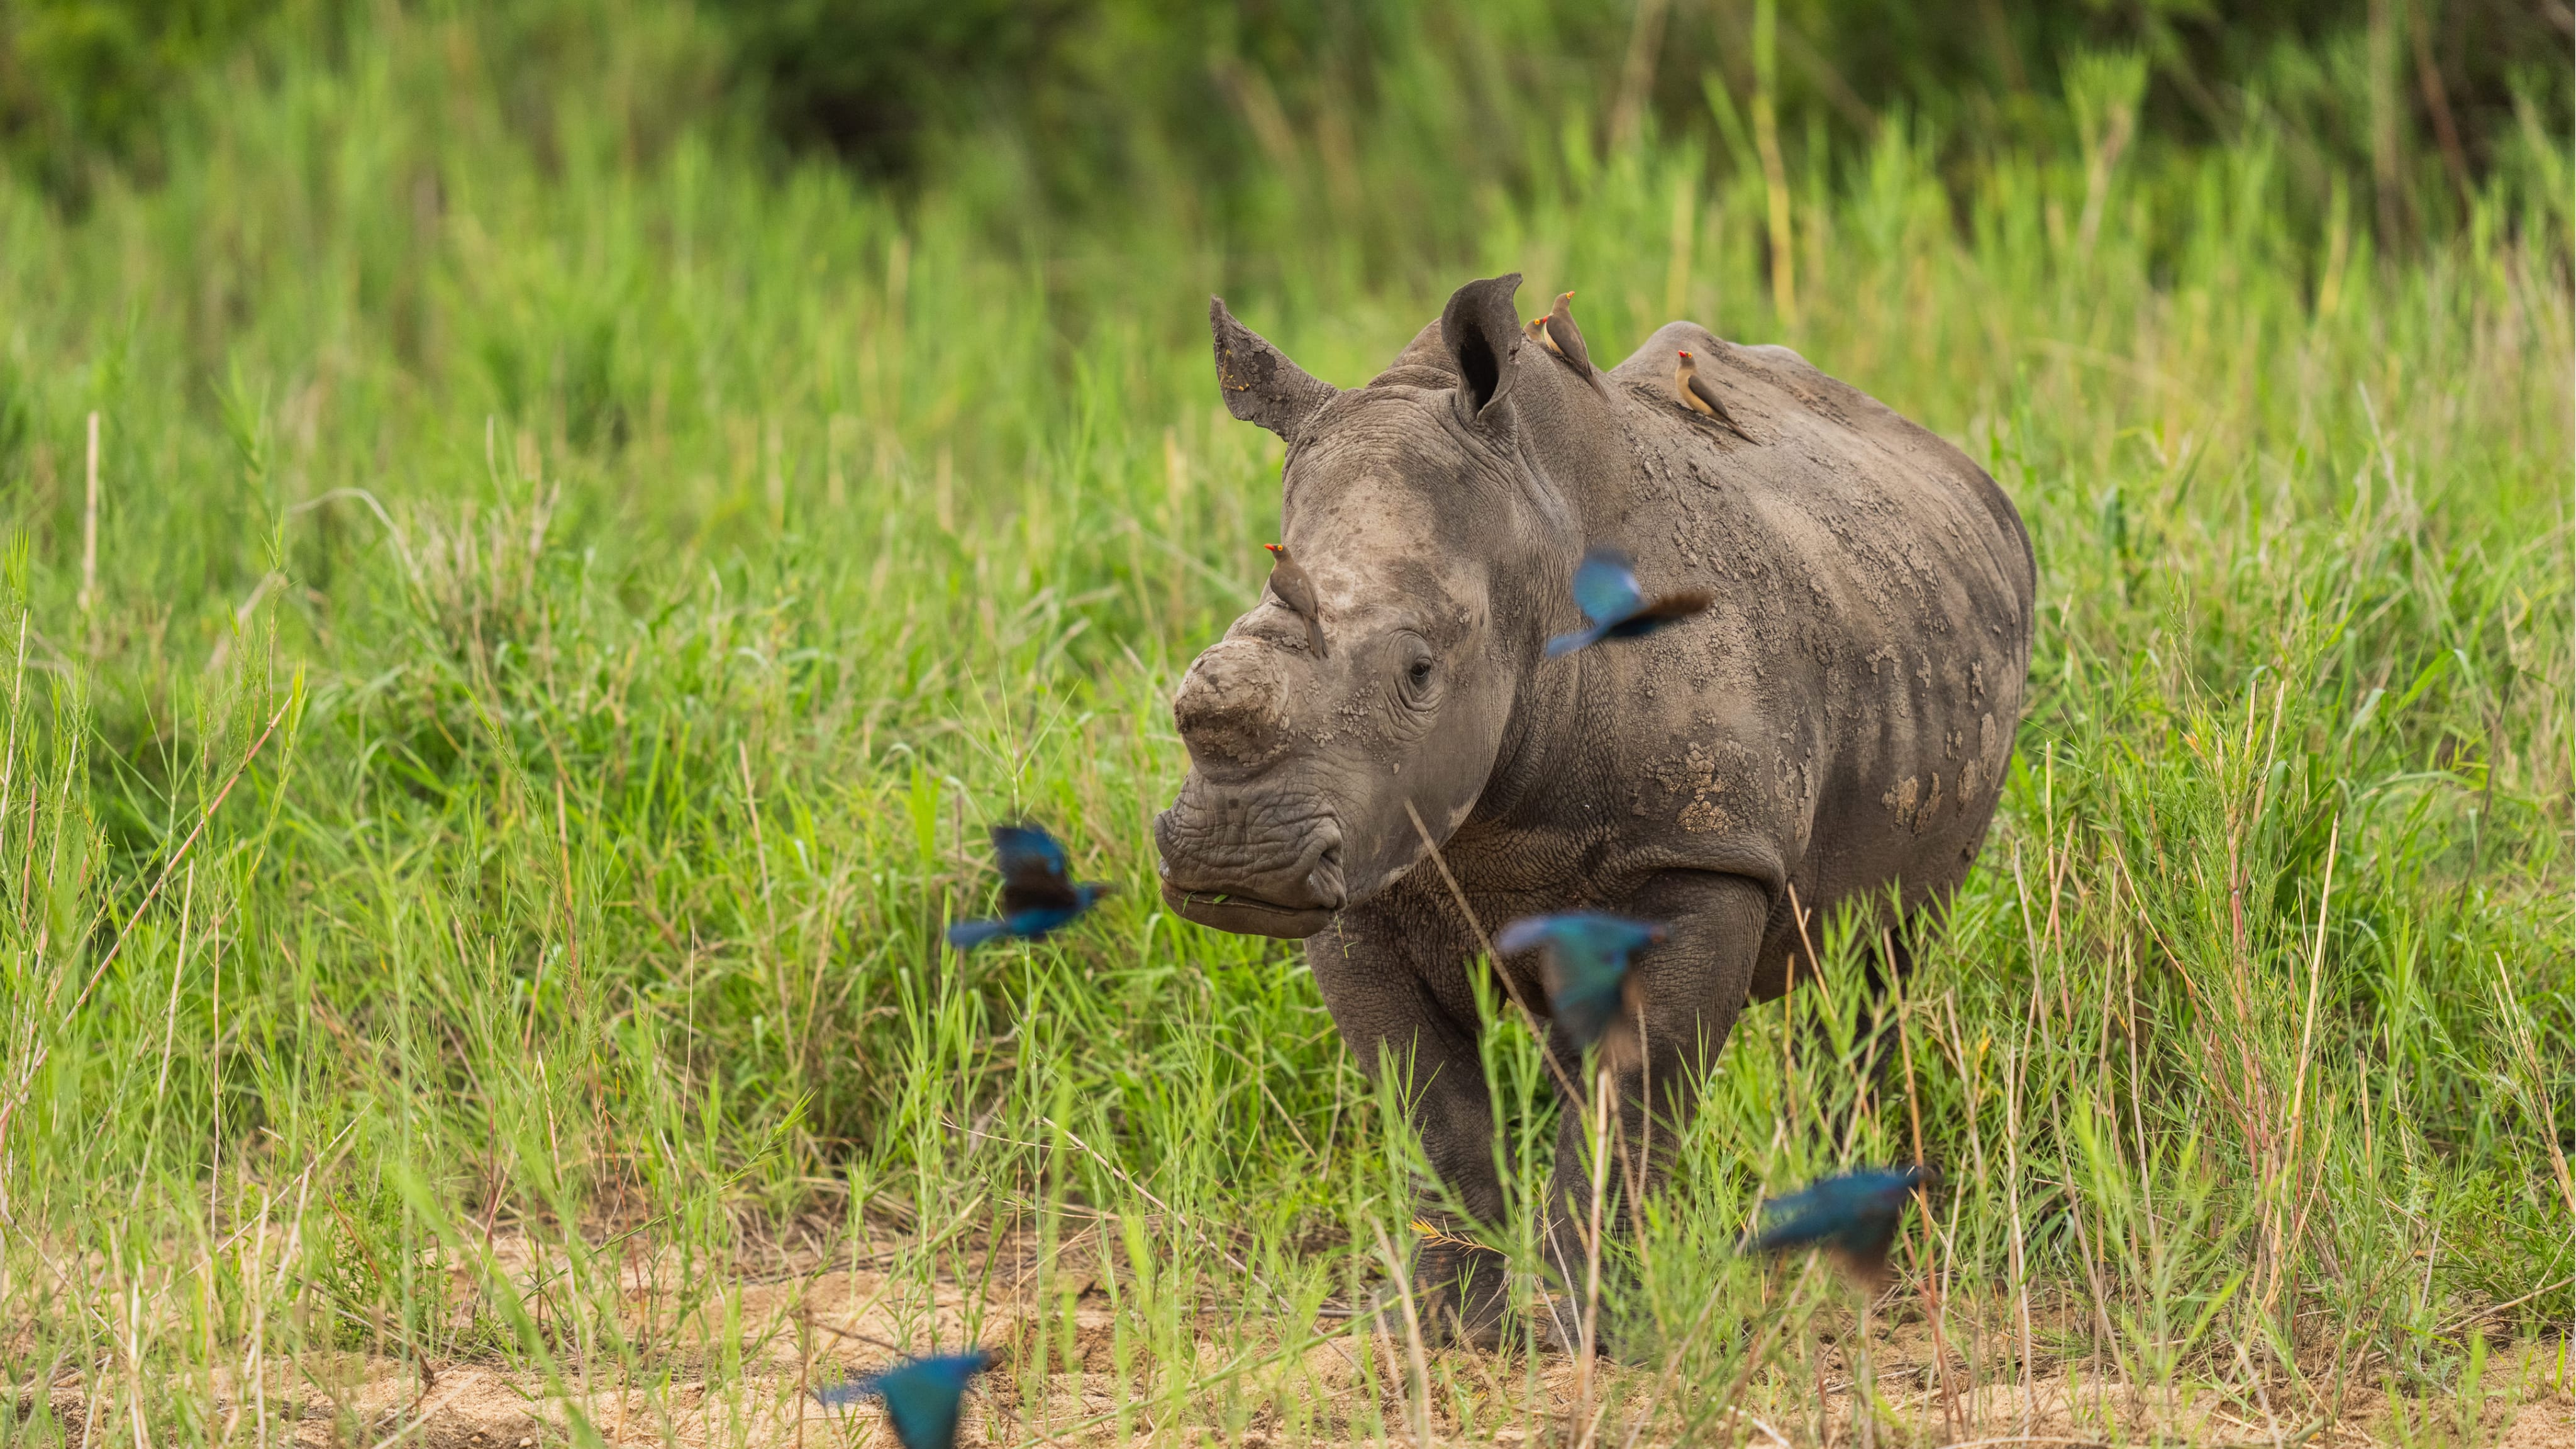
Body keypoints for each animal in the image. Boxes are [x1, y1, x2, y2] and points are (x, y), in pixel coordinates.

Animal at [1153, 274, 2034, 1342]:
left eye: (1419, 672)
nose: (1234, 858)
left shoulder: (1700, 855)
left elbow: (1635, 1097)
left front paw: (1590, 1331)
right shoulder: (1367, 867)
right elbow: (1432, 1113)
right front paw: (1448, 1327)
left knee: (1879, 968)